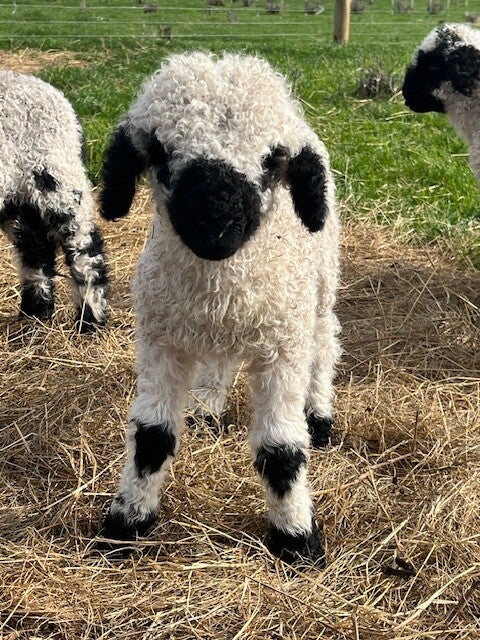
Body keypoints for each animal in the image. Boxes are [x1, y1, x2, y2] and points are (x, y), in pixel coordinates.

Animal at [0, 71, 108, 332]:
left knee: (84, 247)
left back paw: (90, 320)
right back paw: (36, 312)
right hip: (18, 198)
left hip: (58, 178)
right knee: (34, 248)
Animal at [98, 52, 341, 565]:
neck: (220, 289)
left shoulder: (281, 347)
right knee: (221, 358)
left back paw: (319, 413)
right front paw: (125, 524)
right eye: (159, 151)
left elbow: (281, 450)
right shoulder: (161, 340)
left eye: (273, 161)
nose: (215, 223)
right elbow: (152, 436)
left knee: (325, 341)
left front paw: (296, 539)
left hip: (321, 281)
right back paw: (206, 405)